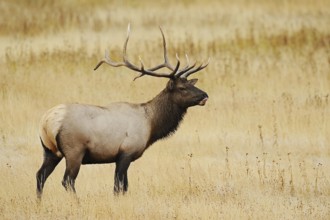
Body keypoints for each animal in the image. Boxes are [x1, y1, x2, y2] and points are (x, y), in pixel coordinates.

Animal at [36, 25, 209, 198]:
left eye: (191, 84)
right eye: (182, 88)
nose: (205, 96)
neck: (151, 125)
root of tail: (47, 122)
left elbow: (123, 187)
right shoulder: (126, 153)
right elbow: (119, 187)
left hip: (50, 151)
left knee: (40, 175)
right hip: (74, 150)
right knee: (67, 180)